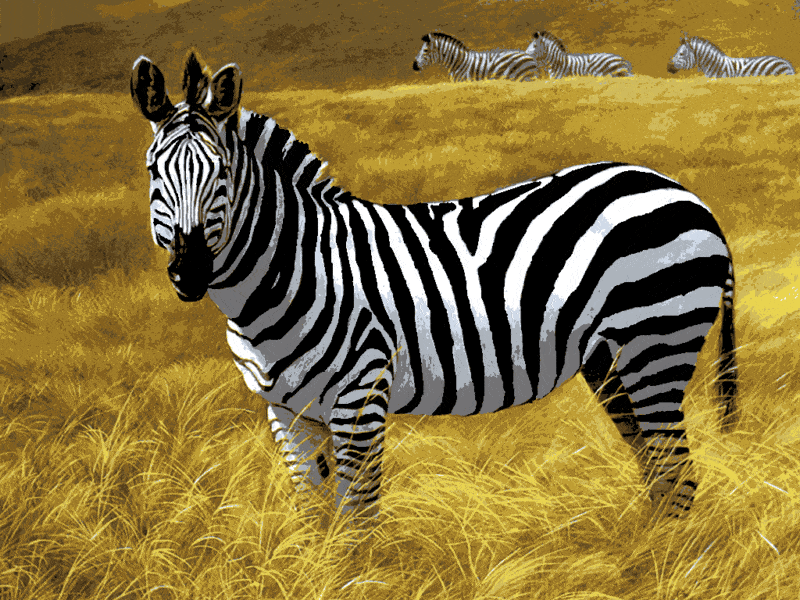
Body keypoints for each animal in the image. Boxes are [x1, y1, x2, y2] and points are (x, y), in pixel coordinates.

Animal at [131, 49, 738, 534]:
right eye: (153, 172)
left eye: (222, 175)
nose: (189, 273)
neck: (292, 270)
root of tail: (687, 195)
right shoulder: (285, 411)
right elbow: (311, 517)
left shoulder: (360, 395)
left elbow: (357, 519)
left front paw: (356, 578)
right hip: (610, 361)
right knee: (660, 472)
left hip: (656, 344)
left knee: (679, 475)